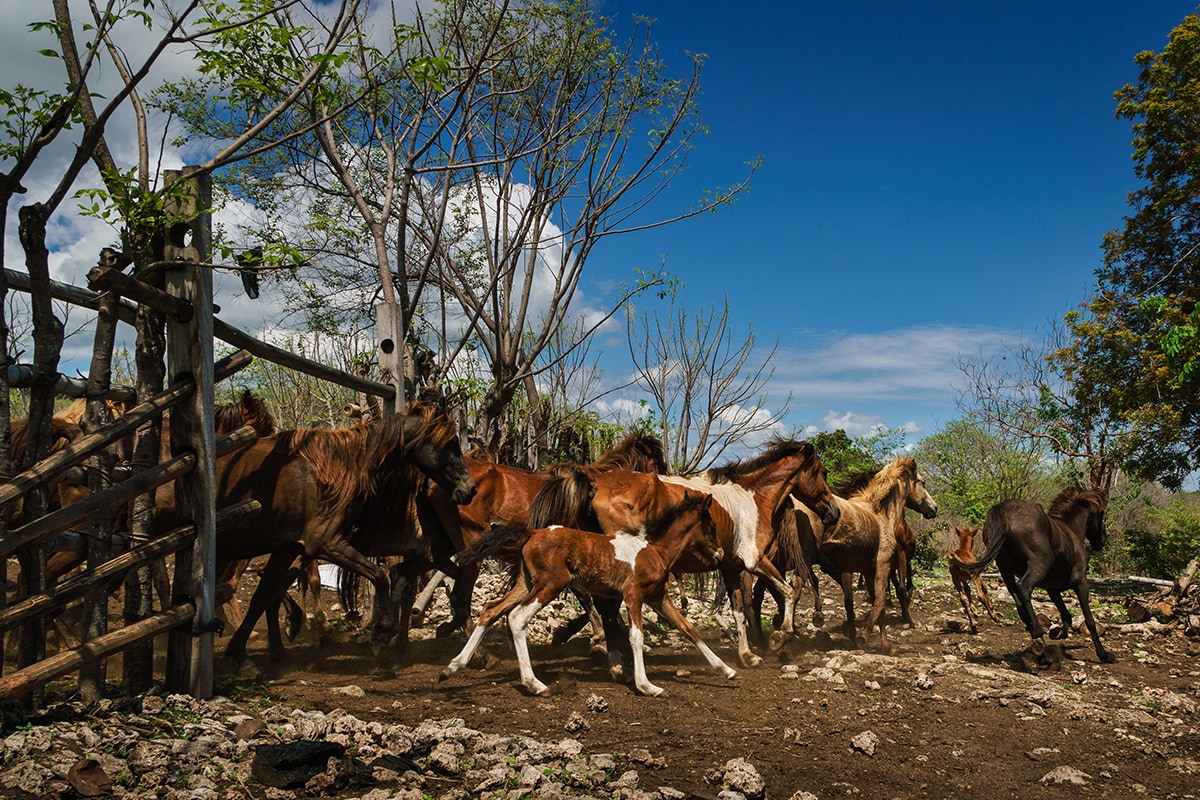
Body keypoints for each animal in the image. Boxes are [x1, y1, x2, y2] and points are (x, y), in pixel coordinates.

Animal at [153, 401, 476, 663]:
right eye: (451, 443)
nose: (469, 489)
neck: (333, 470)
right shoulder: (326, 543)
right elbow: (380, 576)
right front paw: (381, 635)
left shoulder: (288, 548)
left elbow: (263, 595)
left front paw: (242, 652)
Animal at [439, 490, 736, 696]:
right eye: (711, 527)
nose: (720, 554)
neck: (654, 551)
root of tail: (531, 533)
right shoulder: (633, 596)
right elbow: (636, 636)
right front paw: (647, 686)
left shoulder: (658, 598)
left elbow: (688, 628)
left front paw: (727, 670)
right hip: (551, 584)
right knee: (516, 618)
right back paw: (535, 684)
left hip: (526, 583)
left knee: (491, 610)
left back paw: (452, 668)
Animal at [531, 438, 841, 669]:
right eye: (823, 472)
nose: (833, 513)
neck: (752, 499)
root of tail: (596, 486)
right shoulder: (755, 562)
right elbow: (788, 592)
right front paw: (780, 638)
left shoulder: (731, 567)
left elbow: (739, 611)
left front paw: (748, 656)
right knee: (604, 605)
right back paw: (616, 660)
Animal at [791, 456, 938, 652]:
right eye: (923, 482)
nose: (934, 508)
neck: (880, 513)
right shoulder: (882, 564)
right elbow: (880, 601)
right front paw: (863, 635)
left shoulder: (868, 571)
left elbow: (876, 605)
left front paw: (885, 645)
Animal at [948, 487, 1115, 664]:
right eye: (1101, 514)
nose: (1103, 539)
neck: (1070, 530)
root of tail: (1003, 508)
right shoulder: (1081, 582)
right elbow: (1089, 620)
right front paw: (1103, 654)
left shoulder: (1052, 590)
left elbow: (1066, 615)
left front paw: (1058, 633)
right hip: (1038, 564)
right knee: (1023, 587)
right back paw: (1037, 632)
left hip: (1005, 569)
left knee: (1018, 599)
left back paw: (1034, 633)